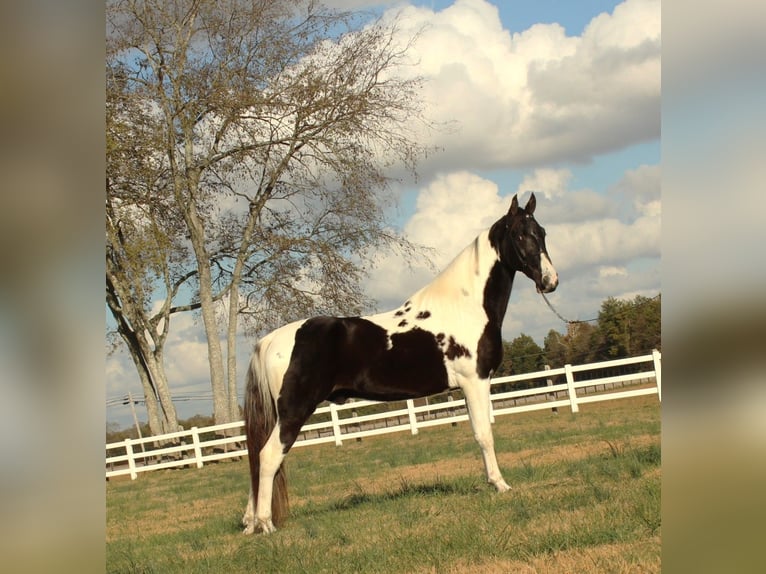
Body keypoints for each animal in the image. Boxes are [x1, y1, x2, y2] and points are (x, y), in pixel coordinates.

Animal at [243, 194, 560, 536]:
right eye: (520, 235)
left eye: (542, 233)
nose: (550, 281)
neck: (465, 306)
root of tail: (269, 341)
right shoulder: (475, 381)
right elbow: (483, 434)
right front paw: (499, 484)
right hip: (294, 411)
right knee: (269, 456)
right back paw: (265, 524)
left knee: (256, 459)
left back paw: (249, 523)